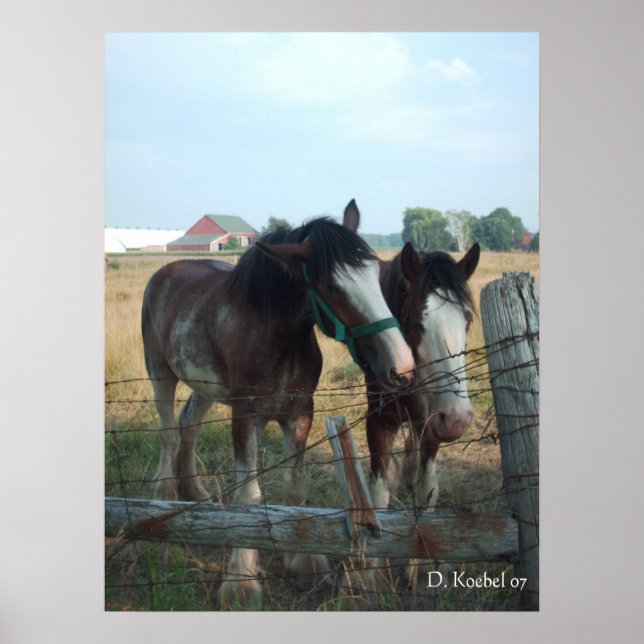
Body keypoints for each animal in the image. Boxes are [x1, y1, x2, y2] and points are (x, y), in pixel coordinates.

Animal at [141, 200, 415, 609]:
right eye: (331, 286)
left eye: (375, 272)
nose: (402, 366)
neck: (277, 336)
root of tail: (164, 272)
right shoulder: (246, 417)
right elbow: (250, 496)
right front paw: (241, 583)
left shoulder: (299, 415)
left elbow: (295, 487)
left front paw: (303, 560)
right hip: (160, 372)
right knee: (168, 431)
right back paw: (164, 496)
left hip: (204, 384)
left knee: (189, 425)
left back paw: (195, 492)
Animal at [364, 241, 480, 577]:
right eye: (416, 322)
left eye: (467, 321)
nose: (456, 418)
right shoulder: (378, 421)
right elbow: (378, 494)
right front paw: (371, 574)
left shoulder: (431, 425)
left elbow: (426, 490)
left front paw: (416, 566)